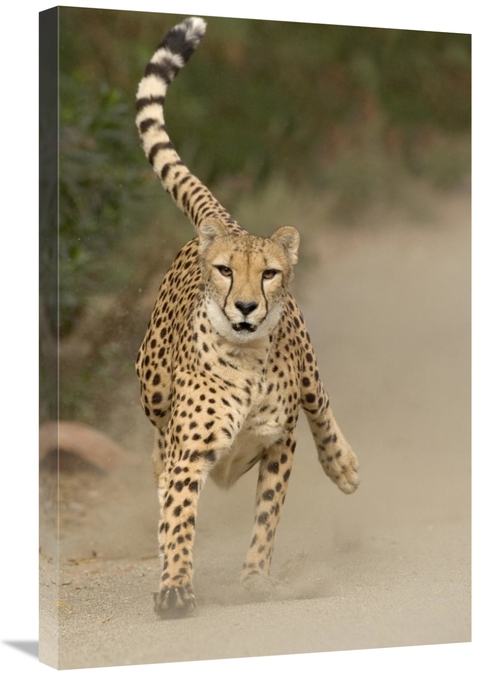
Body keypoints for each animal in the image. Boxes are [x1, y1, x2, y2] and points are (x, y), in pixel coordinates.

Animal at [134, 16, 360, 618]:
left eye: (269, 274)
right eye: (225, 271)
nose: (245, 306)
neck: (248, 358)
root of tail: (227, 223)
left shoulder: (279, 443)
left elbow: (266, 519)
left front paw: (256, 579)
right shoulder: (189, 455)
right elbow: (178, 518)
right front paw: (175, 585)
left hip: (308, 371)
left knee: (321, 403)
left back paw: (344, 464)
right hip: (152, 391)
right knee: (160, 466)